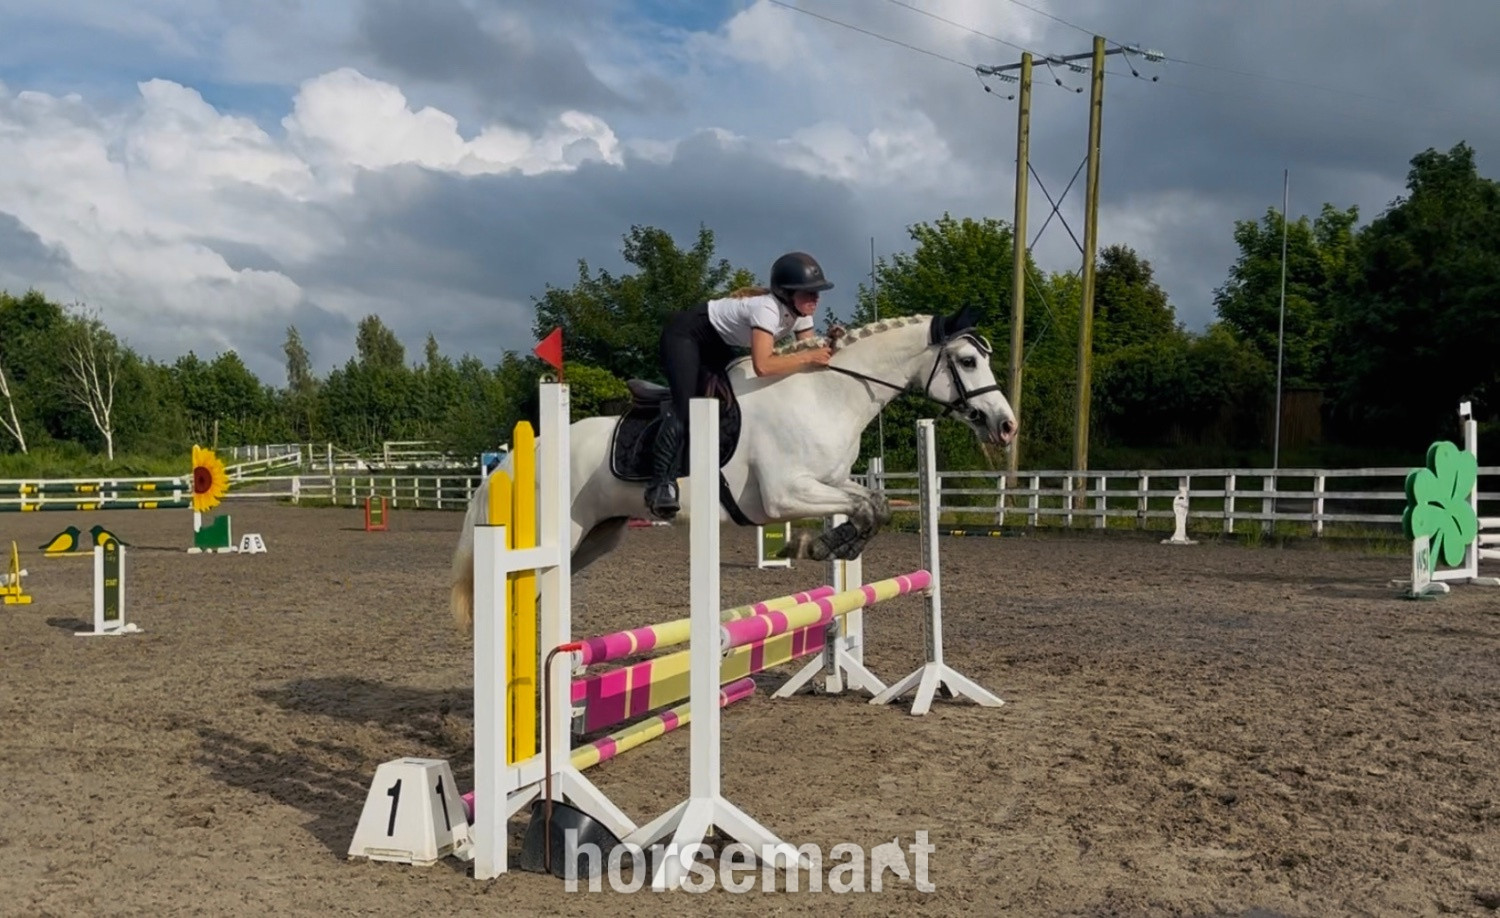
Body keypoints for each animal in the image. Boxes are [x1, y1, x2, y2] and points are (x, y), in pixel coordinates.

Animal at [450, 307, 1017, 630]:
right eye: (969, 361)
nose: (1006, 425)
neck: (825, 394)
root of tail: (516, 457)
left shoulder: (828, 480)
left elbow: (873, 504)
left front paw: (832, 545)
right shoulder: (785, 494)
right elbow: (862, 507)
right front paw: (813, 545)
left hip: (595, 537)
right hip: (556, 534)